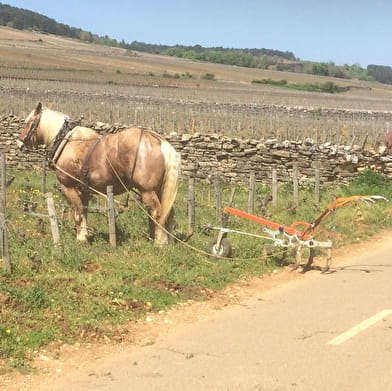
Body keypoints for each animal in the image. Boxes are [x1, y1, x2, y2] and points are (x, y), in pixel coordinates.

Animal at [18, 104, 181, 245]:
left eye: (28, 122)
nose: (19, 144)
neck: (68, 142)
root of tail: (158, 141)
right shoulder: (83, 189)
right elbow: (83, 212)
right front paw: (85, 235)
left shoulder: (68, 187)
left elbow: (77, 213)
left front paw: (81, 238)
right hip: (159, 189)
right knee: (168, 213)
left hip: (148, 191)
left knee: (157, 213)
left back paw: (160, 242)